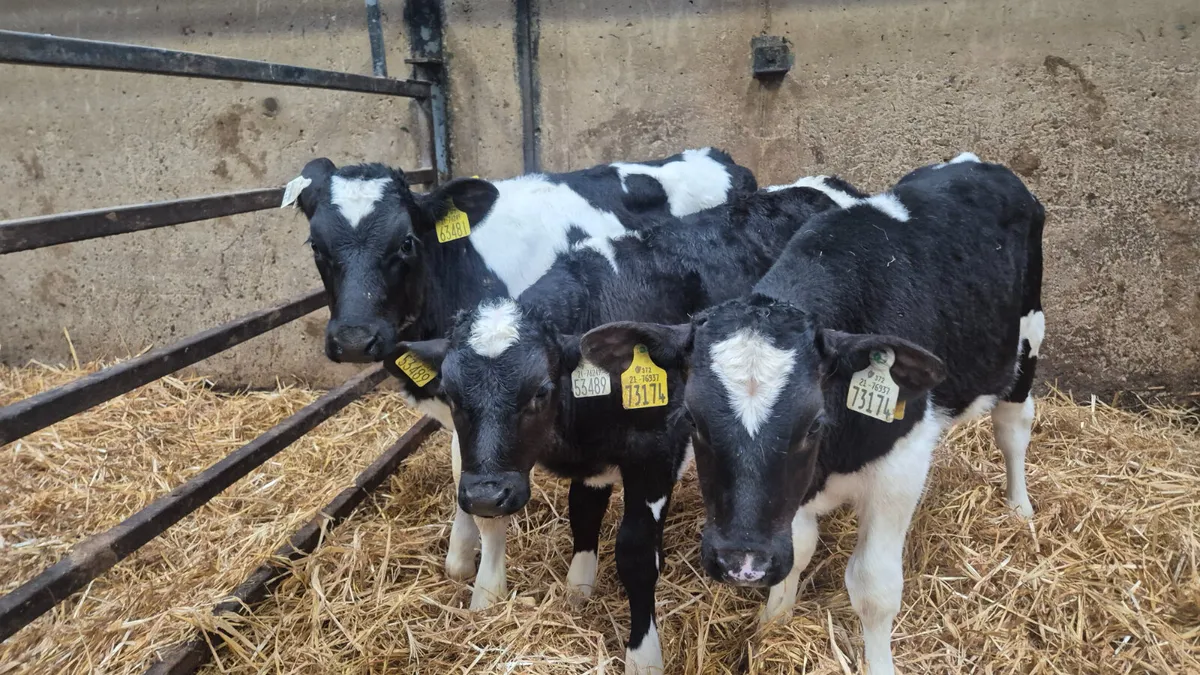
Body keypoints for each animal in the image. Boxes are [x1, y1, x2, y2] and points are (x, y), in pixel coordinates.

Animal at [284, 148, 758, 611]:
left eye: (405, 242)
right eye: (315, 246)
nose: (354, 339)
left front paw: (487, 592)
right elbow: (465, 475)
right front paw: (461, 559)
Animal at [389, 178, 854, 673]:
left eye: (539, 391)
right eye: (451, 393)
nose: (485, 496)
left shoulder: (656, 452)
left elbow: (635, 554)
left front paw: (643, 654)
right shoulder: (578, 459)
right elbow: (578, 513)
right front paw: (564, 592)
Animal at [580, 154, 1044, 675]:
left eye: (813, 424)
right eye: (692, 421)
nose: (742, 562)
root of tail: (978, 164)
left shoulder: (900, 466)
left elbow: (874, 588)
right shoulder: (791, 493)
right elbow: (799, 547)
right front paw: (773, 621)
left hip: (1028, 337)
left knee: (1013, 427)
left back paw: (1019, 507)